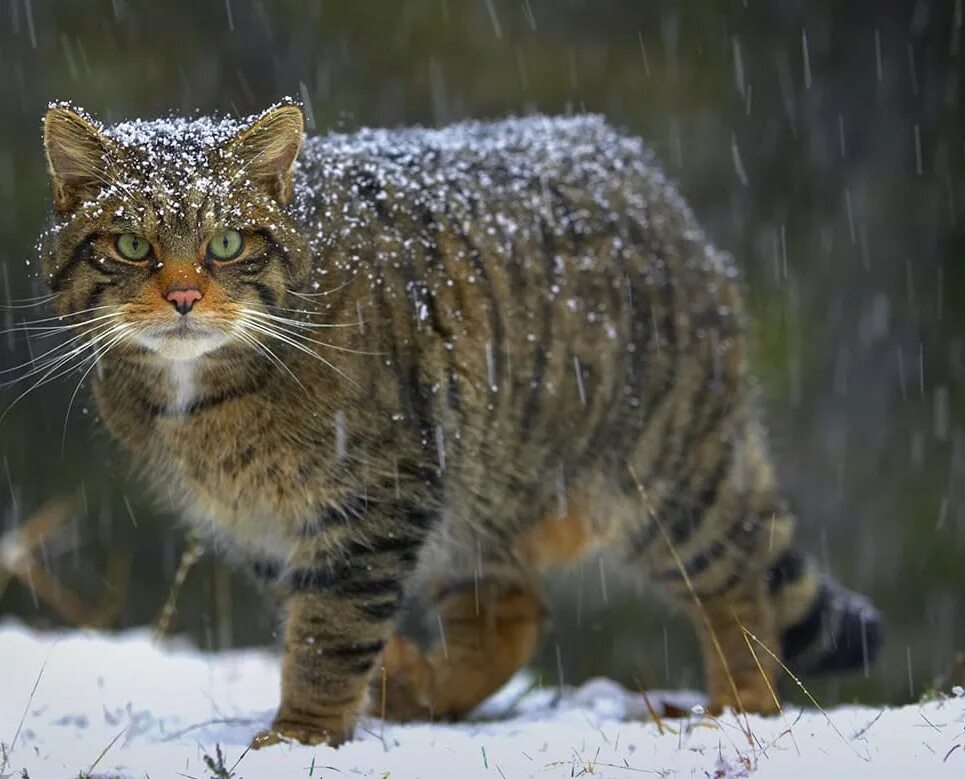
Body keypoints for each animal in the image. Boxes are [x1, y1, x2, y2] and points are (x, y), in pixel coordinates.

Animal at [37, 100, 880, 748]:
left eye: (226, 242)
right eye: (132, 244)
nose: (182, 297)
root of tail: (641, 169)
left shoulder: (374, 492)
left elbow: (330, 630)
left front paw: (304, 733)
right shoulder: (265, 528)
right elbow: (320, 619)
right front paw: (374, 685)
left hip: (663, 475)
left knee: (739, 584)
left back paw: (737, 705)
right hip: (476, 490)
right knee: (511, 615)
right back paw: (424, 687)